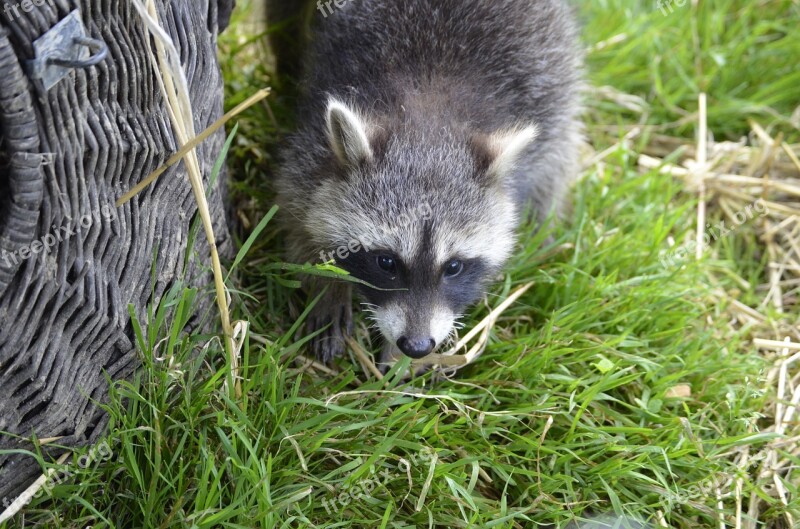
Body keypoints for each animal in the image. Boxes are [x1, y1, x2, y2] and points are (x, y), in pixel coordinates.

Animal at [276, 0, 580, 366]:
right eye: (386, 262)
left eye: (454, 266)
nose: (417, 346)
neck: (429, 111)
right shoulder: (312, 143)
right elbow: (296, 209)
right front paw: (324, 282)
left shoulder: (544, 104)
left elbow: (549, 172)